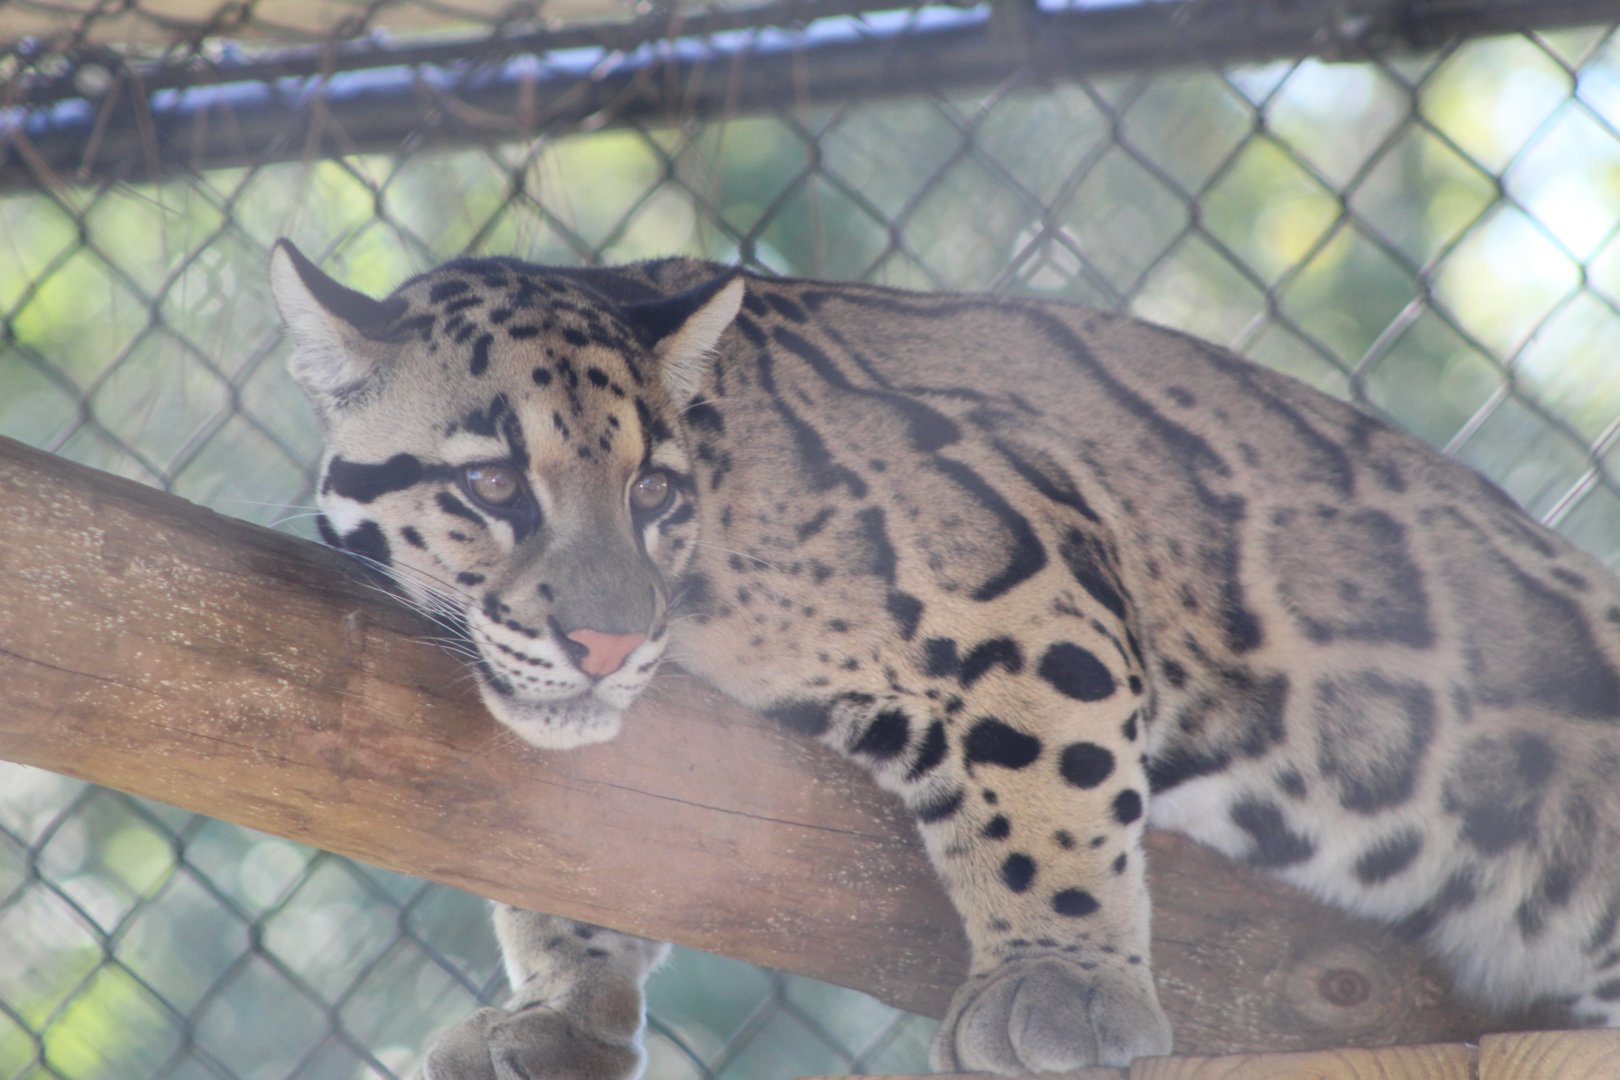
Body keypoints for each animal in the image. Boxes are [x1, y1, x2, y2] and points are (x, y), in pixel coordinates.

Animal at [270, 237, 1620, 1077]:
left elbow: (1050, 781)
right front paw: (562, 1010)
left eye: (651, 490)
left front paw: (1062, 979)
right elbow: (571, 857)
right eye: (493, 485)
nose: (604, 638)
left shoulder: (1028, 573)